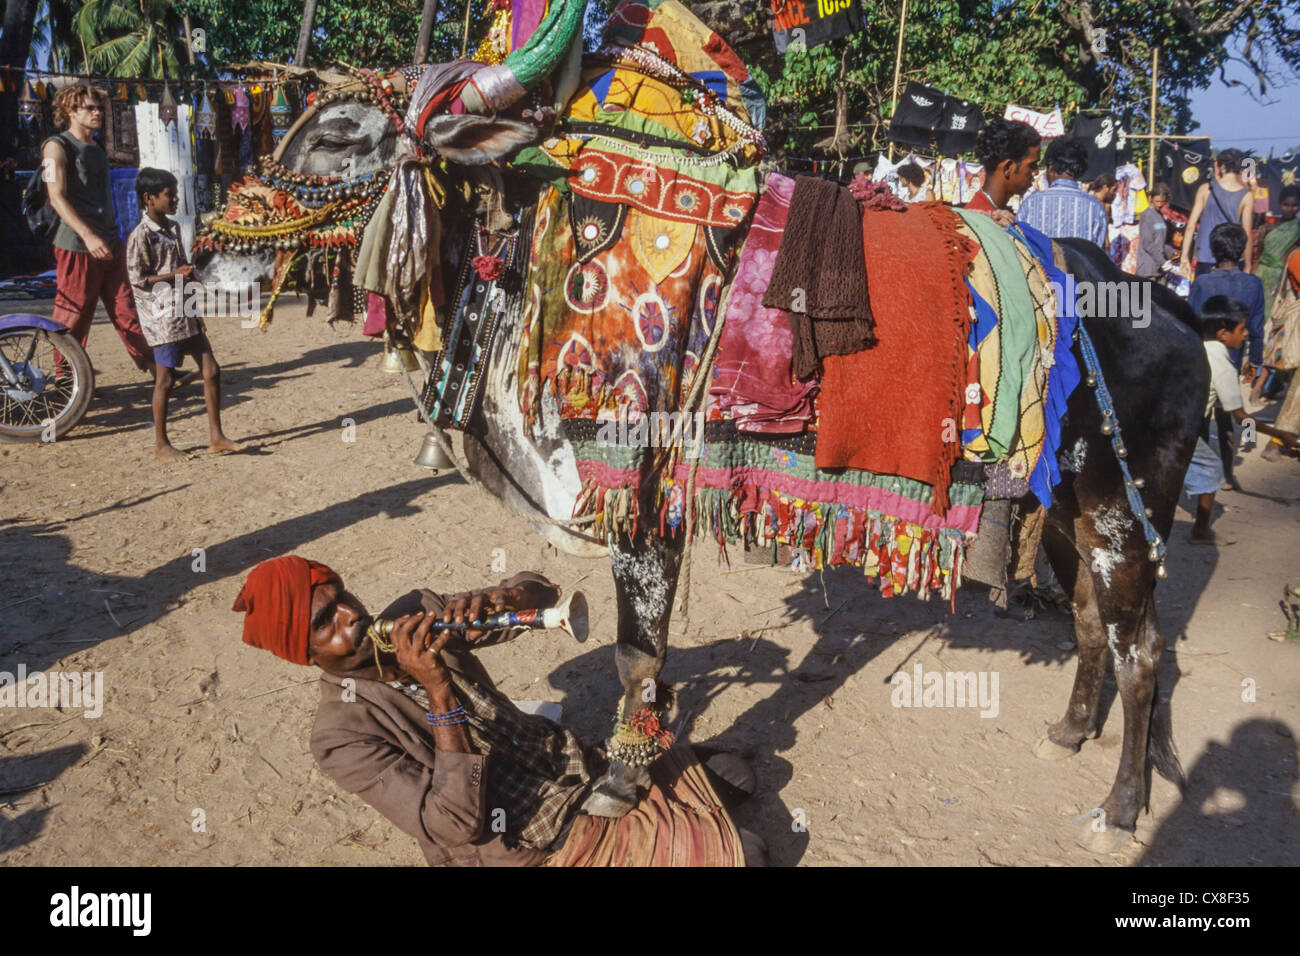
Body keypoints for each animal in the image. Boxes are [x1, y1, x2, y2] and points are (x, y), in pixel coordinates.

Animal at [195, 0, 1206, 853]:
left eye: (336, 133)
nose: (209, 248)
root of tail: (1168, 307)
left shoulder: (633, 485)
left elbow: (635, 650)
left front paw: (621, 777)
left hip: (1121, 514)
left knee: (1144, 651)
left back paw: (1122, 808)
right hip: (1071, 508)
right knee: (1091, 625)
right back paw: (1068, 732)